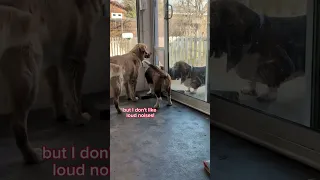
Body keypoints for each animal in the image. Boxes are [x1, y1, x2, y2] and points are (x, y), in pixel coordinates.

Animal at [0, 0, 104, 163]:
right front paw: (80, 117)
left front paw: (61, 115)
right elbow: (75, 95)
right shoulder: (76, 58)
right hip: (29, 74)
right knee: (18, 125)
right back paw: (32, 156)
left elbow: (57, 91)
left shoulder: (52, 62)